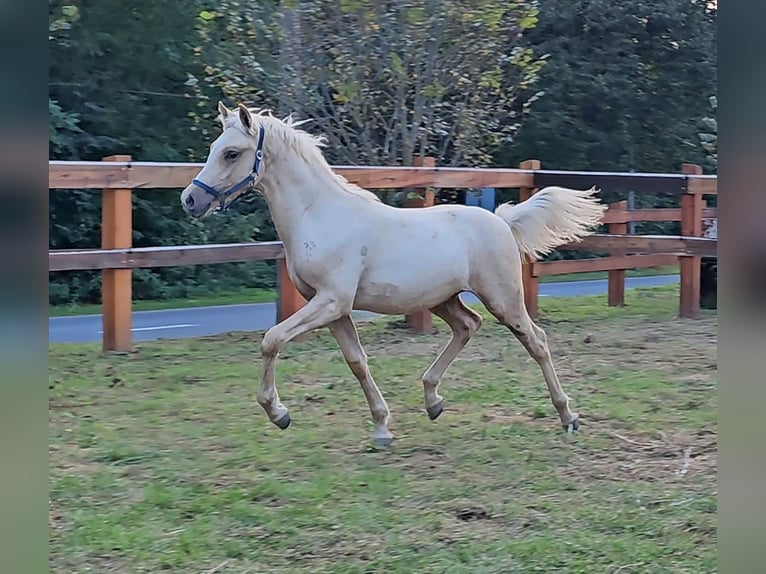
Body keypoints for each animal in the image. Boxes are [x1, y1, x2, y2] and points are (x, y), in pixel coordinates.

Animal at [183, 102, 608, 446]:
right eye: (213, 148)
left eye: (231, 153)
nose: (190, 199)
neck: (320, 215)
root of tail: (502, 221)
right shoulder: (334, 309)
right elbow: (357, 362)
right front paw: (381, 427)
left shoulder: (331, 300)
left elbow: (271, 340)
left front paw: (278, 413)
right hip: (442, 299)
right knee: (467, 326)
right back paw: (433, 400)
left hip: (503, 298)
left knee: (536, 341)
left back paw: (568, 416)